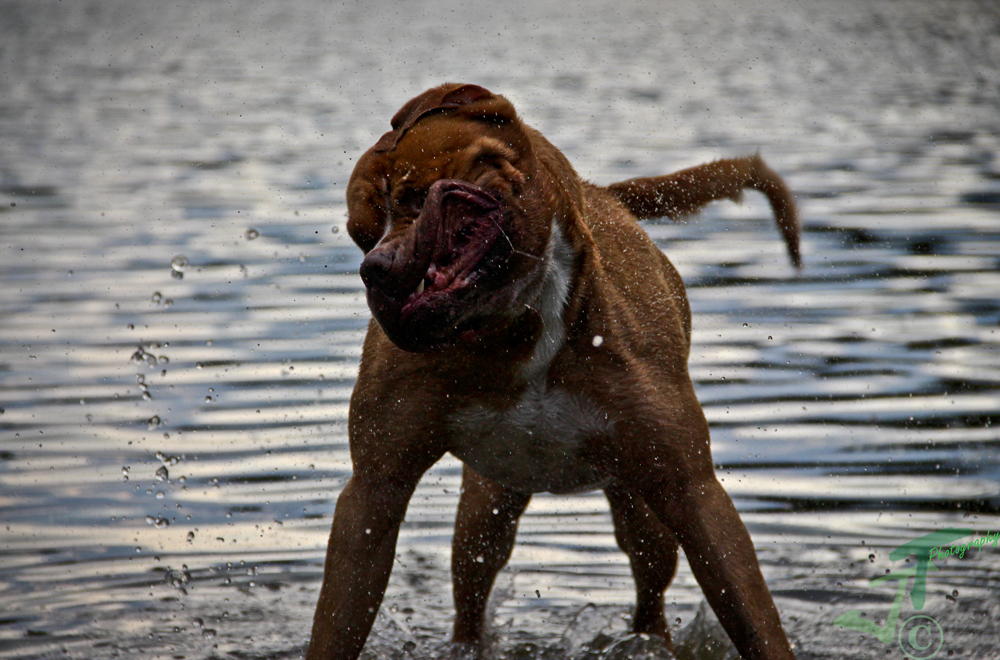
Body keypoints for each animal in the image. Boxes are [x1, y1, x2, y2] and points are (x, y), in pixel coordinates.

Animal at [308, 84, 800, 660]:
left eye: (414, 197)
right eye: (360, 236)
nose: (376, 269)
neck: (517, 324)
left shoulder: (691, 489)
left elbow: (752, 614)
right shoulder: (374, 492)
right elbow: (338, 616)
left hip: (640, 507)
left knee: (650, 590)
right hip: (487, 507)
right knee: (472, 586)